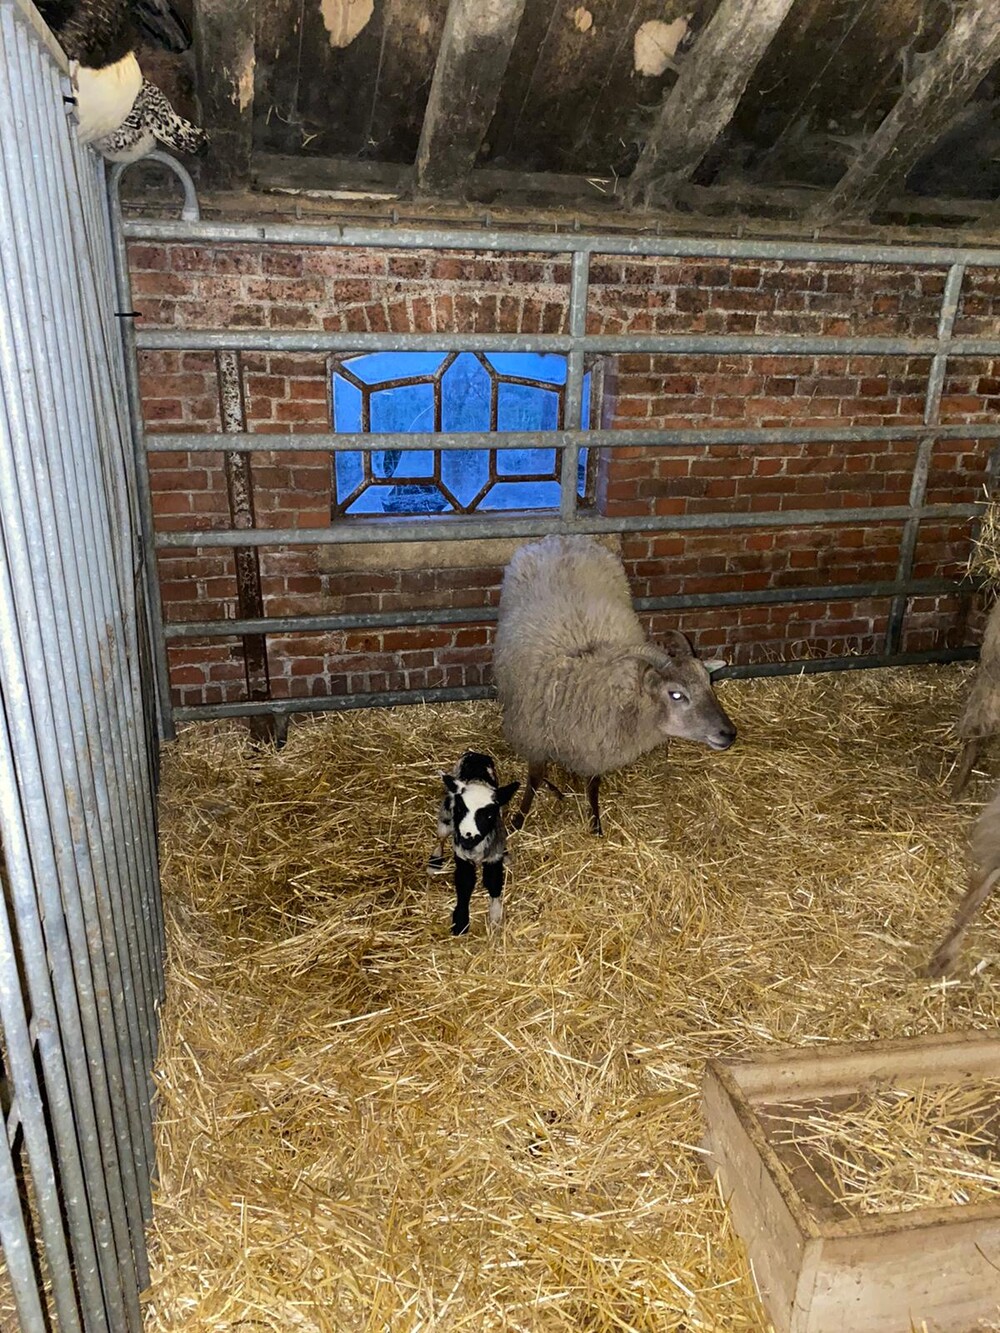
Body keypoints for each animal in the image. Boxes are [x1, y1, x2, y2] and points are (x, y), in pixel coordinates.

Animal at [427, 751, 519, 935]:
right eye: (460, 809)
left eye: (489, 815)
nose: (467, 837)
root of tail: (475, 754)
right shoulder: (462, 857)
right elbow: (464, 884)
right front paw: (460, 922)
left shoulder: (493, 857)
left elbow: (494, 883)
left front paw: (495, 917)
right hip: (446, 815)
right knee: (440, 836)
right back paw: (434, 862)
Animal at [492, 535, 736, 835]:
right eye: (676, 694)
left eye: (708, 682)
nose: (729, 733)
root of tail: (563, 539)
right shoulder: (534, 737)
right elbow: (534, 779)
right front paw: (518, 819)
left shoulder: (596, 746)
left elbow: (593, 782)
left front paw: (595, 820)